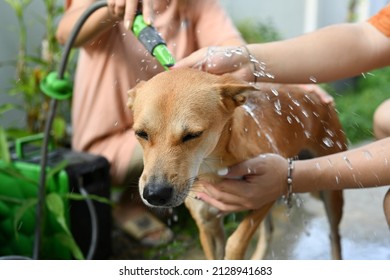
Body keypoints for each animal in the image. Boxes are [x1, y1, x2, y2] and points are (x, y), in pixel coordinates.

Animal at [126, 68, 346, 260]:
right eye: (140, 133)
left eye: (193, 135)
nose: (155, 194)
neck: (211, 168)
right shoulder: (207, 225)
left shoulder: (266, 192)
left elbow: (235, 242)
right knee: (269, 232)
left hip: (332, 191)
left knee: (334, 235)